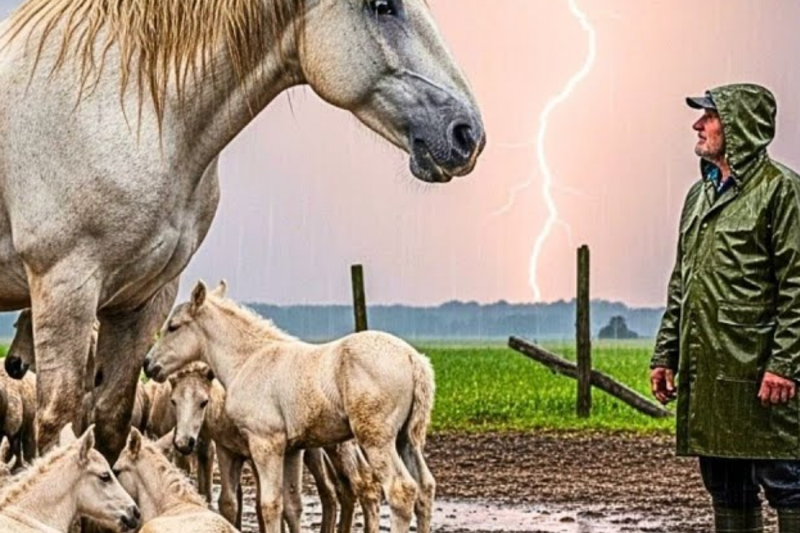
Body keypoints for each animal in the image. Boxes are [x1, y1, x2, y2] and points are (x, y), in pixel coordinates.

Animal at [0, 0, 485, 461]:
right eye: (382, 5)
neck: (128, 106)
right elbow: (57, 426)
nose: (467, 134)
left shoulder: (142, 300)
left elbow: (109, 428)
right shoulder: (66, 286)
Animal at [144, 280, 436, 533]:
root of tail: (413, 359)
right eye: (174, 401)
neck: (248, 360)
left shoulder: (265, 443)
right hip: (405, 440)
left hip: (376, 439)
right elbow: (291, 504)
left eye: (173, 327)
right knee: (424, 488)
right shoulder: (292, 450)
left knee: (400, 490)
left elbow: (270, 504)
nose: (148, 364)